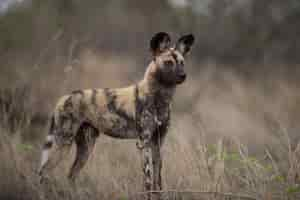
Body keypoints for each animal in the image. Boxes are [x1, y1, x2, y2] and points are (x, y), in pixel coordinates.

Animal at [38, 32, 195, 195]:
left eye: (182, 62)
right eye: (169, 63)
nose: (183, 75)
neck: (160, 98)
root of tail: (63, 98)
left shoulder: (158, 143)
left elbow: (157, 183)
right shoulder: (143, 143)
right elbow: (147, 182)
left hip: (86, 147)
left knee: (70, 175)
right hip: (64, 142)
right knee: (44, 172)